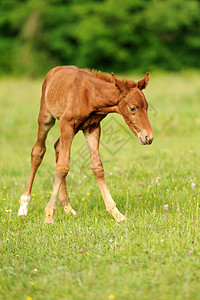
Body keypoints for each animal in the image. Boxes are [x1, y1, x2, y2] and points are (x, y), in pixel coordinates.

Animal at [18, 65, 154, 223]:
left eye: (146, 107)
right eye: (132, 108)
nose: (148, 137)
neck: (90, 95)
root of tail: (54, 70)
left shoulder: (92, 127)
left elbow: (97, 167)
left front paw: (116, 213)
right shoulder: (66, 123)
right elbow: (62, 167)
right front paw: (49, 214)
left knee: (57, 146)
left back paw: (67, 207)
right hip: (46, 117)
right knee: (38, 151)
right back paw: (24, 206)